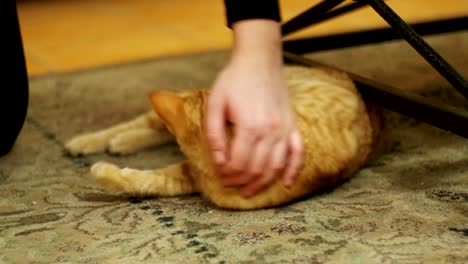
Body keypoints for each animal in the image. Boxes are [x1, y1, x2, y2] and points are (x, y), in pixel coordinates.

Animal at [65, 65, 384, 209]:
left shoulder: (189, 176)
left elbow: (148, 181)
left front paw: (105, 171)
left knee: (155, 132)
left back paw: (121, 143)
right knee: (140, 124)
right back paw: (86, 141)